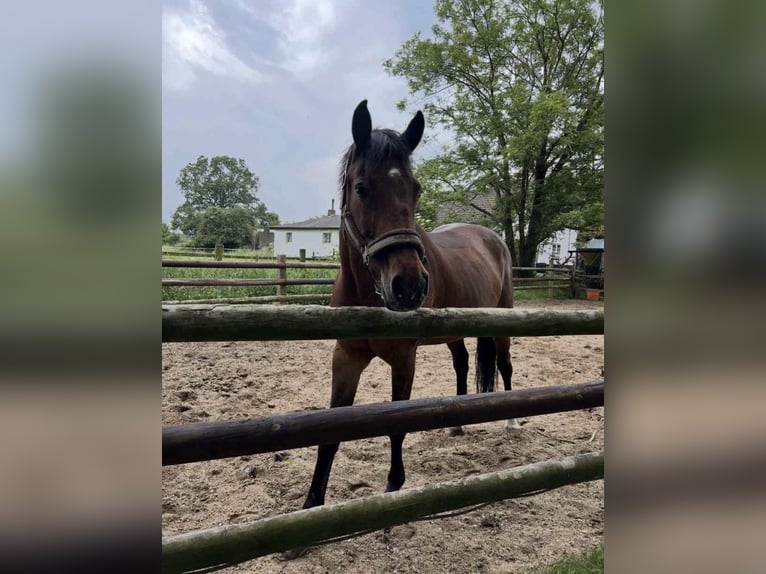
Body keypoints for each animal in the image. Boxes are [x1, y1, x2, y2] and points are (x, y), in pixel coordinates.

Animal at [302, 100, 516, 511]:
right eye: (362, 188)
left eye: (416, 191)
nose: (409, 286)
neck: (366, 293)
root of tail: (493, 238)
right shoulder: (346, 357)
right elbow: (330, 433)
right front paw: (311, 504)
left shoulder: (404, 359)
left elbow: (397, 425)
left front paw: (393, 484)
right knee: (463, 362)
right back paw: (456, 423)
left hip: (503, 321)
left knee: (505, 364)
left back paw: (513, 419)